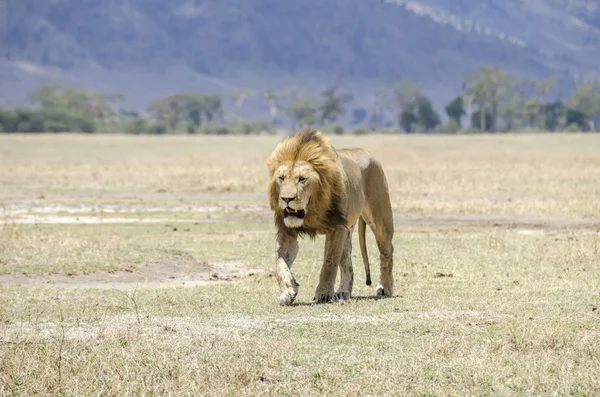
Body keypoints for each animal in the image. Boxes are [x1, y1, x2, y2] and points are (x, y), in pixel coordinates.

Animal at [268, 128, 394, 304]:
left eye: (302, 179)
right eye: (281, 178)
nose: (286, 199)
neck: (311, 210)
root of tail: (367, 153)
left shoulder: (336, 228)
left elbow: (329, 262)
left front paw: (324, 294)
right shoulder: (287, 231)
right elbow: (280, 263)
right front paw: (288, 291)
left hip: (379, 218)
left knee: (387, 250)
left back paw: (385, 288)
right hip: (348, 230)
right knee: (347, 263)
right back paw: (343, 292)